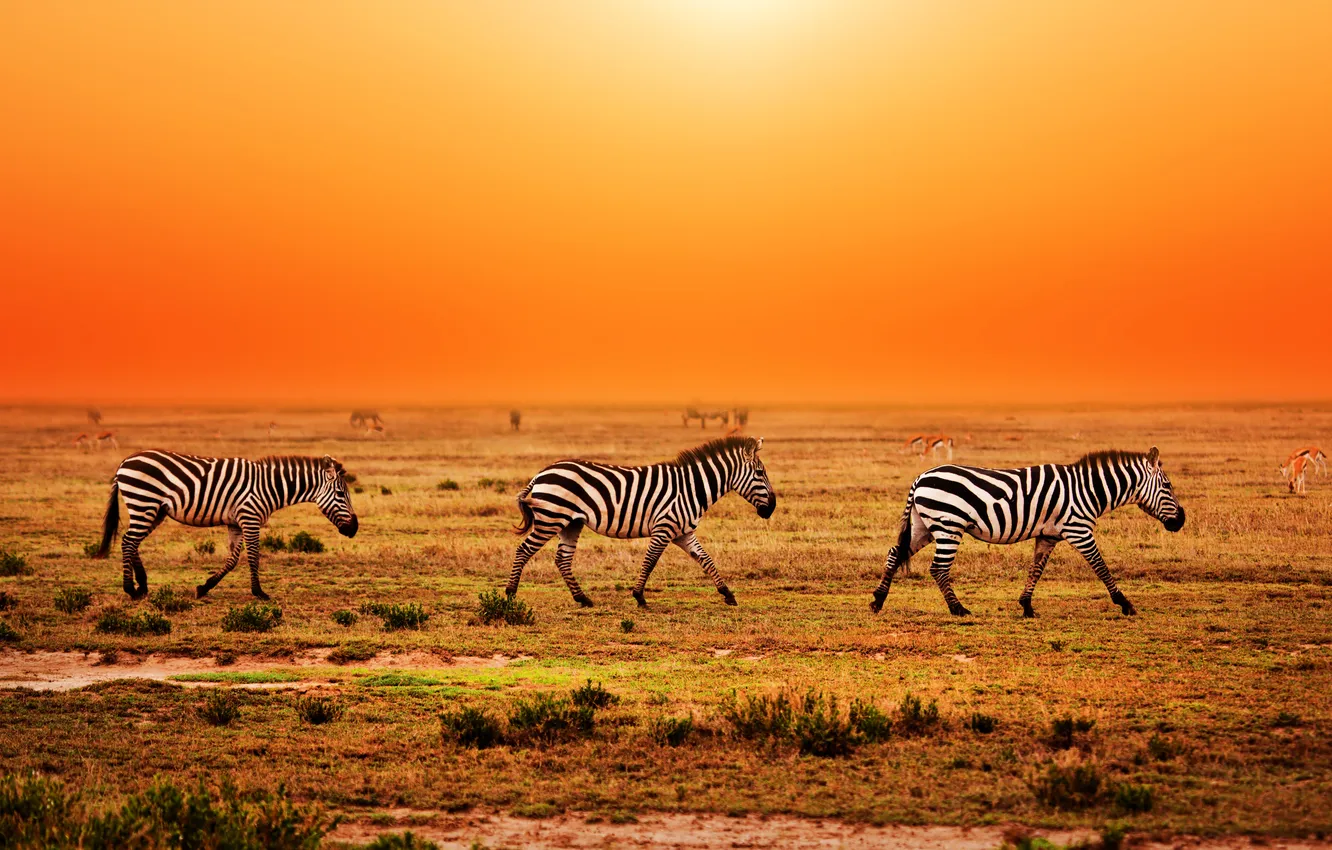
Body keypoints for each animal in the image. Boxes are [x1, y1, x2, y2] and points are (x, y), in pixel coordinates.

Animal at [92, 451, 358, 600]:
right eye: (340, 494)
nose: (354, 529)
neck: (269, 487)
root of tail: (125, 462)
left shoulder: (236, 523)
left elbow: (232, 560)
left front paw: (204, 587)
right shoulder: (250, 518)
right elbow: (253, 557)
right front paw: (259, 593)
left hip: (154, 510)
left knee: (132, 542)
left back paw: (143, 585)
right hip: (143, 502)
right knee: (128, 541)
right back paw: (131, 589)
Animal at [506, 436, 776, 608]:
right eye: (760, 473)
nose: (772, 508)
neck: (692, 488)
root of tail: (542, 473)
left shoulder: (683, 532)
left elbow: (706, 560)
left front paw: (728, 594)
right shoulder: (664, 528)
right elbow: (650, 561)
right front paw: (639, 597)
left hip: (571, 522)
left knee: (562, 559)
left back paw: (583, 599)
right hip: (551, 518)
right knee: (523, 550)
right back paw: (510, 594)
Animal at [870, 447, 1184, 618]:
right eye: (1168, 486)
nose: (1181, 520)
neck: (1089, 490)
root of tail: (921, 477)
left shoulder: (1048, 535)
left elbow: (1036, 569)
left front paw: (1026, 606)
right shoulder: (1079, 529)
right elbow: (1101, 567)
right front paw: (1125, 604)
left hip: (923, 525)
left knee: (895, 552)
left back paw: (878, 600)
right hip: (948, 525)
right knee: (938, 568)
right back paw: (958, 609)